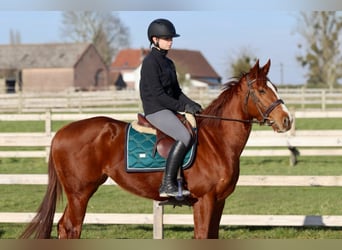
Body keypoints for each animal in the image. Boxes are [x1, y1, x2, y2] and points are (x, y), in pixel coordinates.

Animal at [19, 59, 292, 239]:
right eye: (261, 91)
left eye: (276, 88)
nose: (287, 120)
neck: (217, 141)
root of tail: (62, 132)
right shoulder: (204, 201)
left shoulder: (219, 202)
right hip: (79, 193)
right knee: (72, 227)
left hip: (80, 192)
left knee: (64, 226)